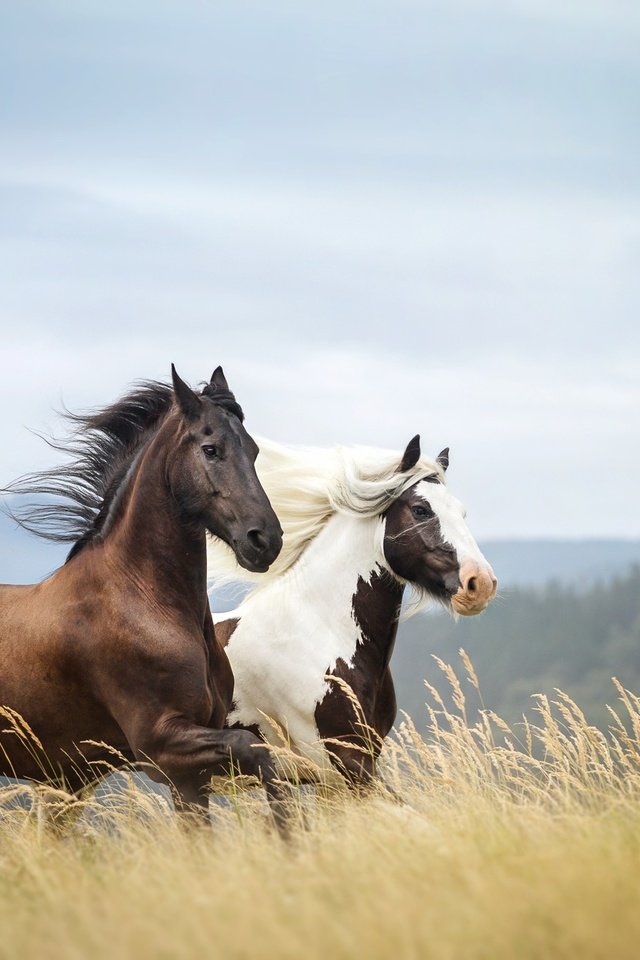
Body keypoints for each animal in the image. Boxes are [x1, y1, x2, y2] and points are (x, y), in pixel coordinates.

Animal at [0, 368, 288, 824]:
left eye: (255, 451)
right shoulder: (162, 747)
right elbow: (256, 751)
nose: (265, 541)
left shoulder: (191, 776)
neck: (142, 599)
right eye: (211, 450)